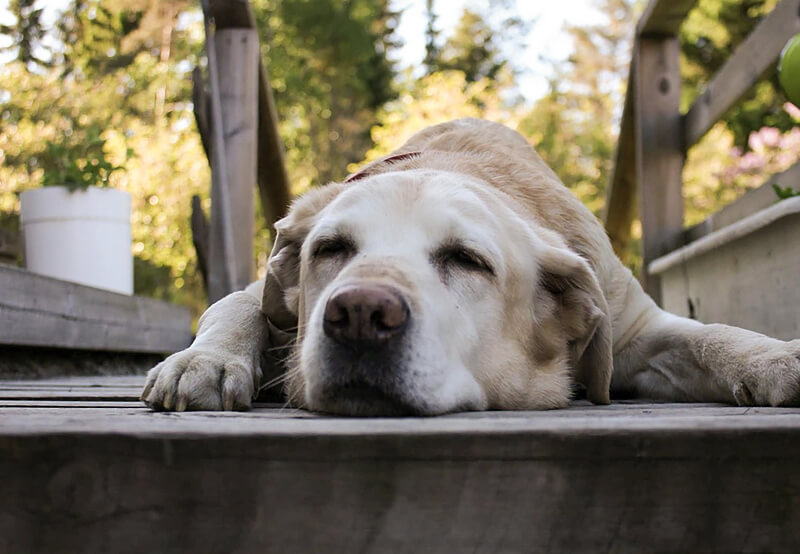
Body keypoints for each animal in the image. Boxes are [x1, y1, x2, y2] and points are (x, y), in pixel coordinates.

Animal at [141, 118, 796, 412]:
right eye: (330, 250)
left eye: (467, 260)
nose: (359, 314)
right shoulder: (265, 294)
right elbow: (237, 307)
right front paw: (206, 361)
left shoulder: (635, 326)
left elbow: (712, 335)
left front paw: (777, 358)